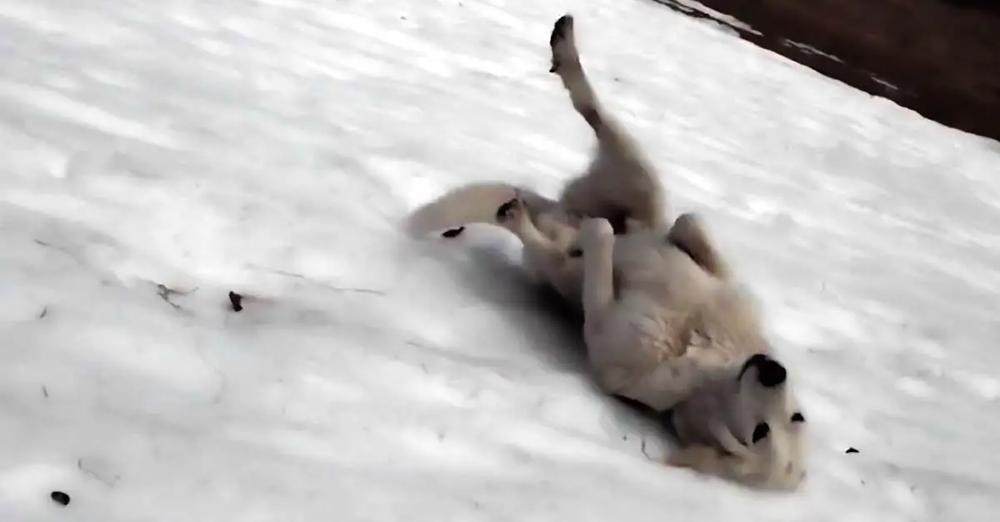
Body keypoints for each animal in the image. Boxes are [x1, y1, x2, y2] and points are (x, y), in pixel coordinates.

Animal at [406, 14, 804, 490]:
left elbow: (591, 247)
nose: (773, 369)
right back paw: (565, 46)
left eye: (760, 434)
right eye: (798, 417)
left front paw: (568, 239)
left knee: (562, 213)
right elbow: (690, 224)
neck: (711, 361)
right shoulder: (719, 279)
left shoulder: (603, 334)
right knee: (596, 115)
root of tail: (559, 206)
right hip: (640, 179)